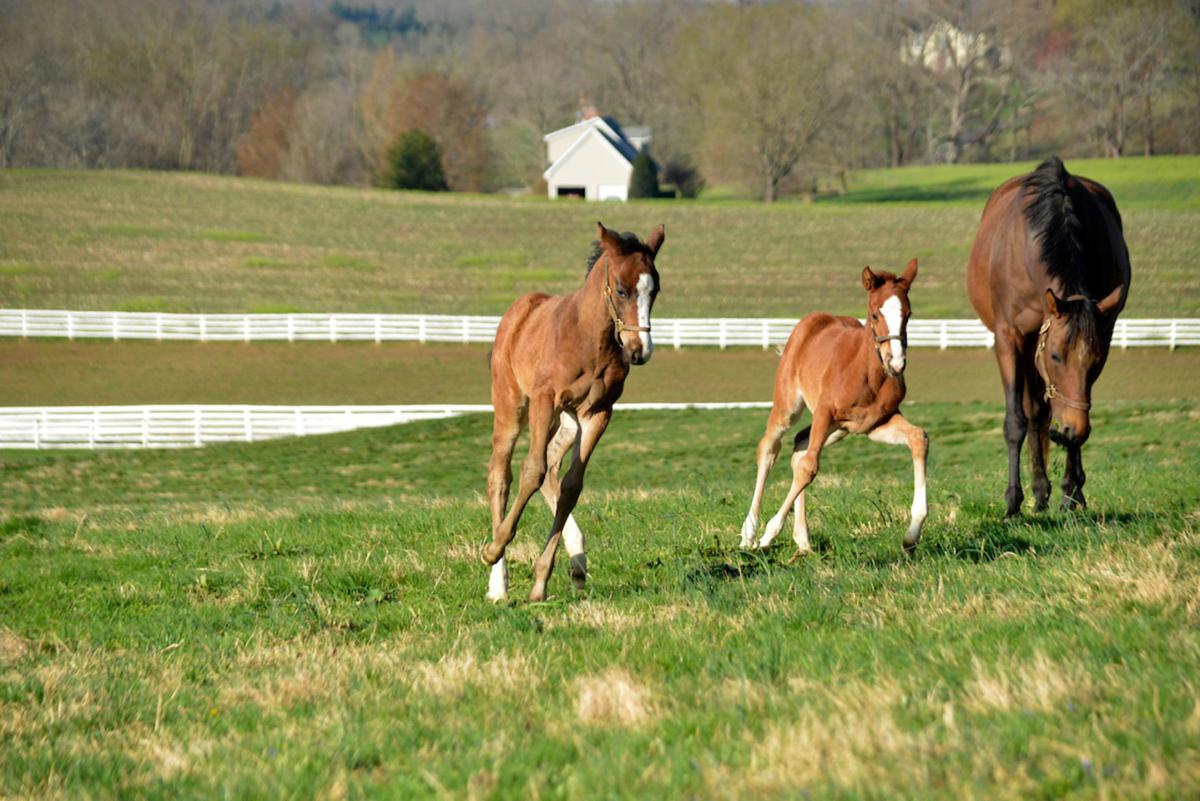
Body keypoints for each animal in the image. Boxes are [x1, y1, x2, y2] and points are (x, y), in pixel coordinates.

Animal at [481, 222, 664, 602]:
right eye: (622, 290)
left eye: (654, 290)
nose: (639, 350)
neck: (587, 340)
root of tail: (517, 312)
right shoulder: (544, 399)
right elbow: (531, 471)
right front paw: (495, 549)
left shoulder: (598, 412)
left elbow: (571, 486)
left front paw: (540, 583)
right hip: (513, 407)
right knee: (501, 475)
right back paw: (498, 581)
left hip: (565, 422)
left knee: (552, 464)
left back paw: (577, 561)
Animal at [739, 260, 928, 556]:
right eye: (874, 315)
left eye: (908, 314)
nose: (895, 363)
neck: (866, 373)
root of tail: (810, 321)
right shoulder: (825, 412)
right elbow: (809, 468)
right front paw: (768, 535)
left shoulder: (876, 423)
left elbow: (919, 438)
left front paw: (911, 536)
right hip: (790, 406)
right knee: (771, 448)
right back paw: (749, 532)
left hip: (840, 429)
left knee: (800, 446)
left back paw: (803, 540)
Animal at [966, 157, 1129, 517]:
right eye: (1055, 356)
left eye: (1095, 361)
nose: (1072, 427)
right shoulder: (1009, 338)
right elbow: (1017, 420)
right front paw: (1012, 502)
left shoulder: (1104, 332)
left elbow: (1064, 414)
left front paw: (1072, 493)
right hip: (1026, 348)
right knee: (1033, 412)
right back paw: (1038, 493)